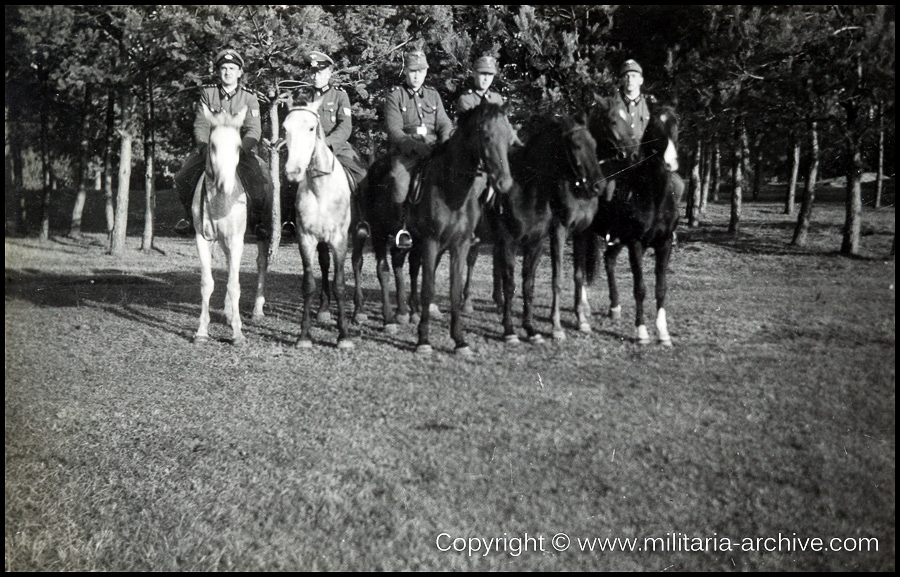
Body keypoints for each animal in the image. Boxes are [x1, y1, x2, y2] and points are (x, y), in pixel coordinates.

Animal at [192, 104, 268, 342]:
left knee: (261, 263)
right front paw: (201, 331)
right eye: (213, 146)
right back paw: (228, 312)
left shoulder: (236, 240)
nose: (224, 185)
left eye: (237, 147)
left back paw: (256, 311)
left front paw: (237, 333)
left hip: (261, 233)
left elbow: (235, 285)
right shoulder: (202, 239)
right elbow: (207, 283)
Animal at [284, 100, 354, 346]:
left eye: (311, 128)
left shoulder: (340, 240)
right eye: (285, 129)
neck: (321, 188)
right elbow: (308, 284)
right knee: (324, 265)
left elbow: (340, 284)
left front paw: (344, 336)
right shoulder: (306, 239)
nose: (293, 171)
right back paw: (324, 310)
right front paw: (304, 335)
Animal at [468, 115, 608, 344]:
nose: (598, 186)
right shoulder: (524, 239)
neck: (526, 191)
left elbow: (531, 284)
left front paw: (532, 328)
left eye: (595, 145)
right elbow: (516, 284)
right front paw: (513, 330)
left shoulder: (540, 242)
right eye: (575, 145)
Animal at [592, 103, 684, 344]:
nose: (671, 162)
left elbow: (661, 288)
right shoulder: (635, 244)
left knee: (608, 260)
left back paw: (614, 308)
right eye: (654, 127)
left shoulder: (664, 244)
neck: (653, 196)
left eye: (676, 125)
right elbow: (640, 288)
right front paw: (642, 331)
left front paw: (663, 333)